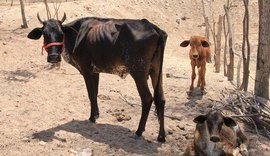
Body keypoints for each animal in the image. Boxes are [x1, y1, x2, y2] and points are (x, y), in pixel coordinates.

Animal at [26, 14, 167, 142]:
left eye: (61, 33)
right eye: (44, 34)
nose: (54, 57)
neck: (75, 34)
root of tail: (152, 26)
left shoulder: (86, 70)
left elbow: (91, 94)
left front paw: (92, 117)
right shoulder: (95, 72)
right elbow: (96, 92)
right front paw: (97, 113)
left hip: (139, 72)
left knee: (147, 98)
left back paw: (139, 131)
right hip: (156, 71)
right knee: (161, 99)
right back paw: (161, 137)